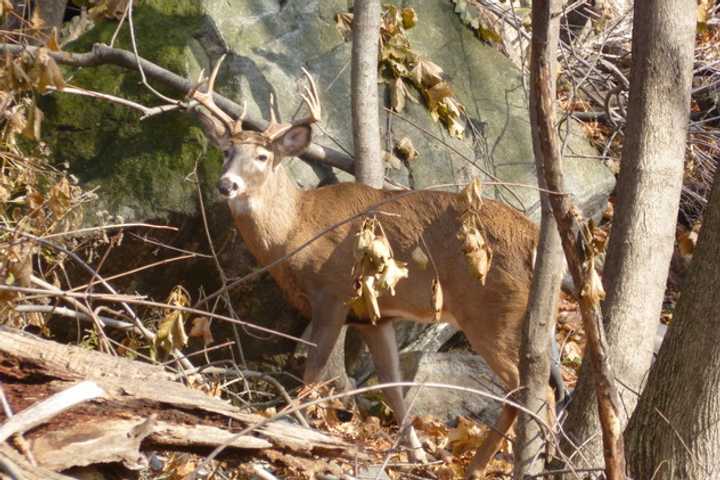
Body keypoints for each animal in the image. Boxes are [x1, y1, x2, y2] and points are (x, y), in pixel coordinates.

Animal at [194, 62, 564, 476]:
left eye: (261, 156)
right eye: (226, 151)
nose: (227, 184)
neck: (295, 230)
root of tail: (535, 242)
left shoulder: (334, 292)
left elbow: (314, 369)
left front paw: (297, 423)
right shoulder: (374, 317)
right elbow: (393, 387)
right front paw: (417, 456)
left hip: (491, 309)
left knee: (528, 389)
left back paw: (499, 465)